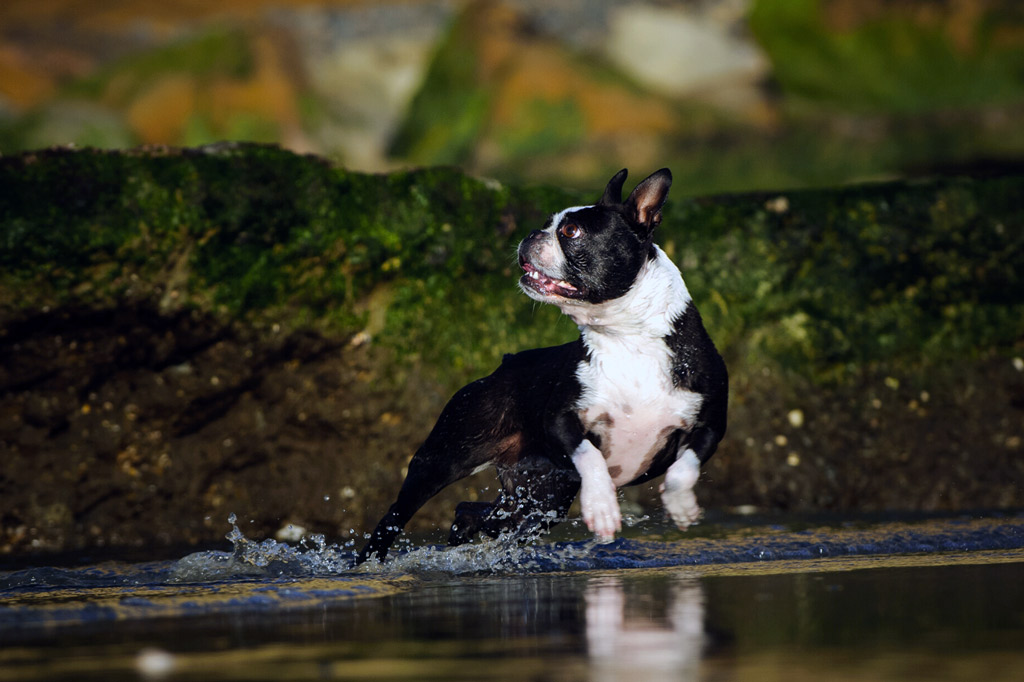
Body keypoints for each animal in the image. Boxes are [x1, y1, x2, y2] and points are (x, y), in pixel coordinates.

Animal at [358, 166, 729, 561]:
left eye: (571, 231)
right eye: (549, 224)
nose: (531, 234)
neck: (627, 337)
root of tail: (503, 365)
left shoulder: (708, 426)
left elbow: (683, 469)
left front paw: (681, 506)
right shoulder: (560, 420)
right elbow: (590, 455)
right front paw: (601, 506)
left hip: (541, 499)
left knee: (477, 513)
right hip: (444, 459)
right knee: (394, 518)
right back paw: (369, 562)